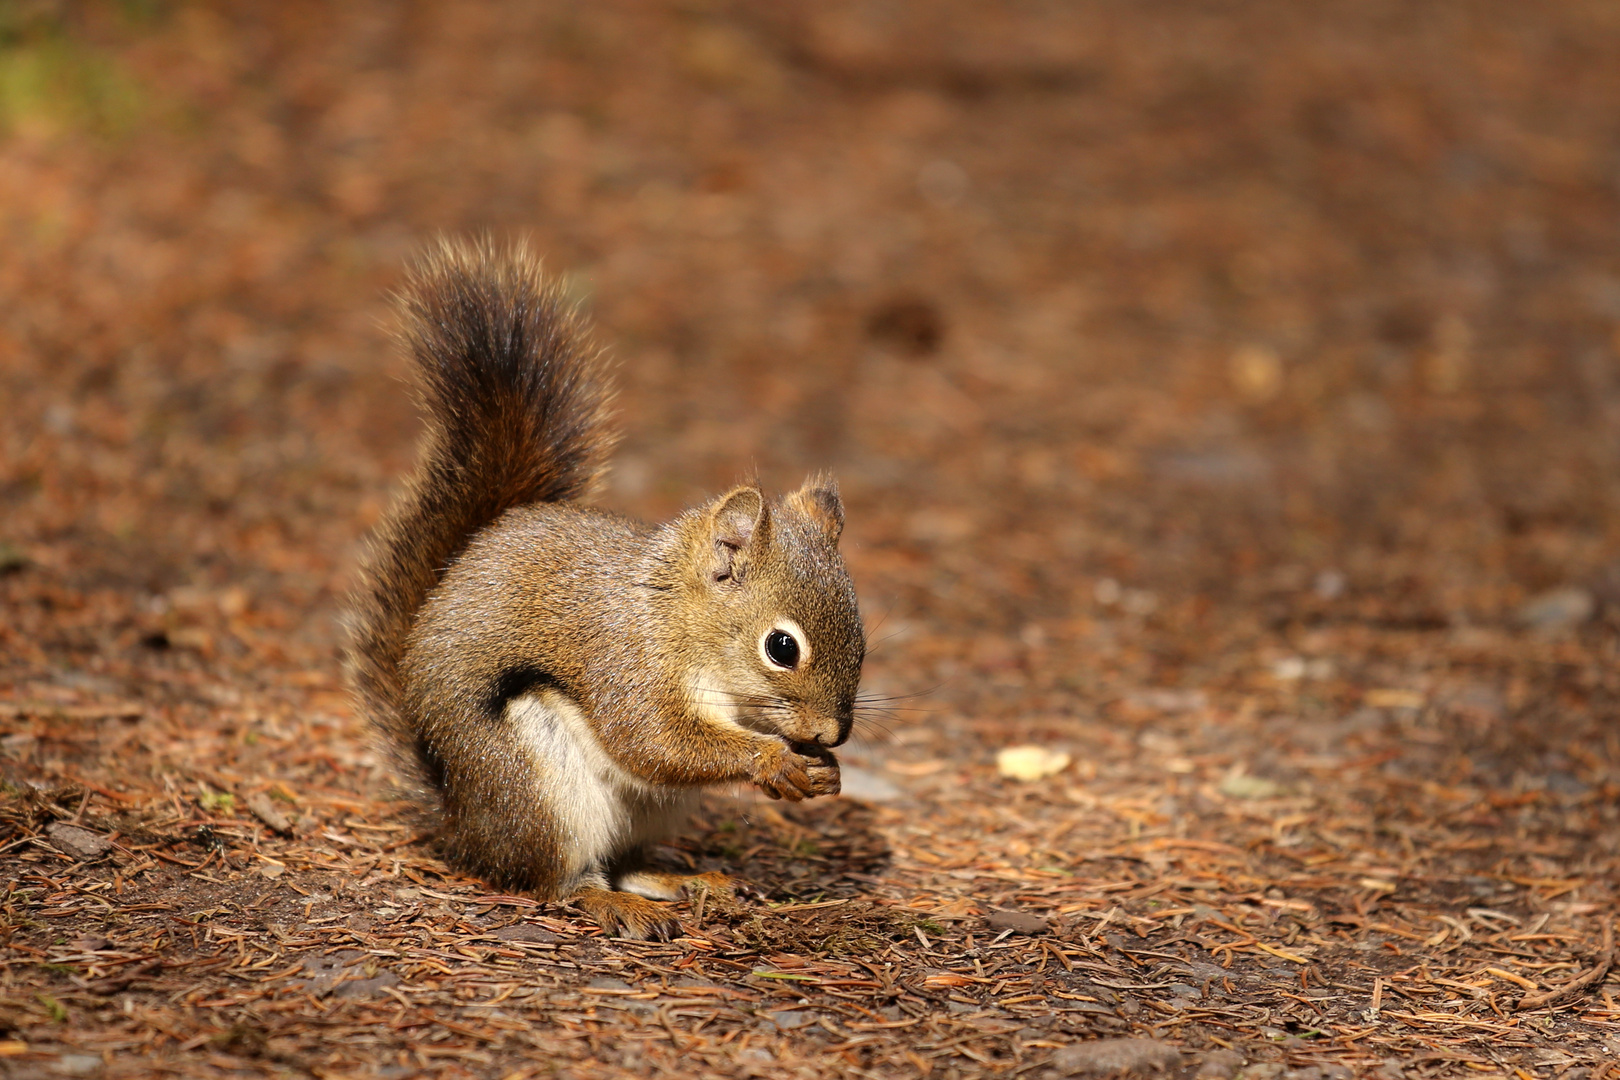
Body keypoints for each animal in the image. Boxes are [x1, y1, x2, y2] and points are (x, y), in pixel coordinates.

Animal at [346, 236, 868, 939]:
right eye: (782, 648)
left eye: (863, 636)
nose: (833, 735)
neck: (673, 616)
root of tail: (464, 821)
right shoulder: (625, 664)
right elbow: (655, 741)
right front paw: (775, 761)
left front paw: (823, 772)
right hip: (540, 785)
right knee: (560, 880)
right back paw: (610, 902)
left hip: (651, 811)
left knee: (626, 860)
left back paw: (687, 882)